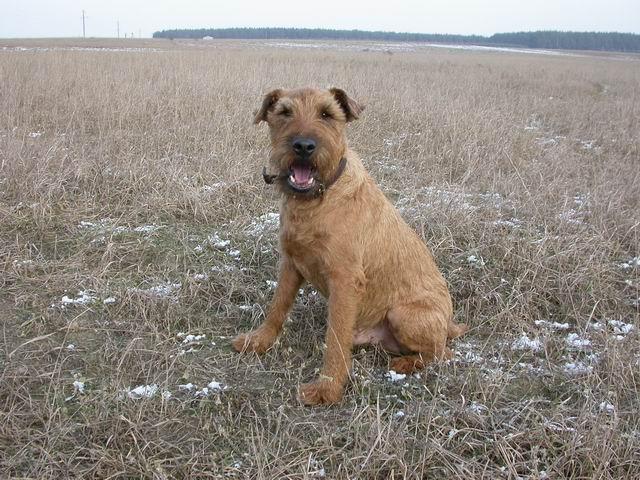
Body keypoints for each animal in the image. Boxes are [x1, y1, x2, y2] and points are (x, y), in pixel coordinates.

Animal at [232, 87, 468, 404]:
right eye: (284, 112)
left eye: (327, 114)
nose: (303, 146)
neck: (318, 200)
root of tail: (449, 324)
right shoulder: (291, 263)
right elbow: (277, 308)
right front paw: (258, 341)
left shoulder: (344, 281)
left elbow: (334, 340)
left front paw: (327, 389)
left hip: (404, 315)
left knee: (441, 352)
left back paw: (406, 363)